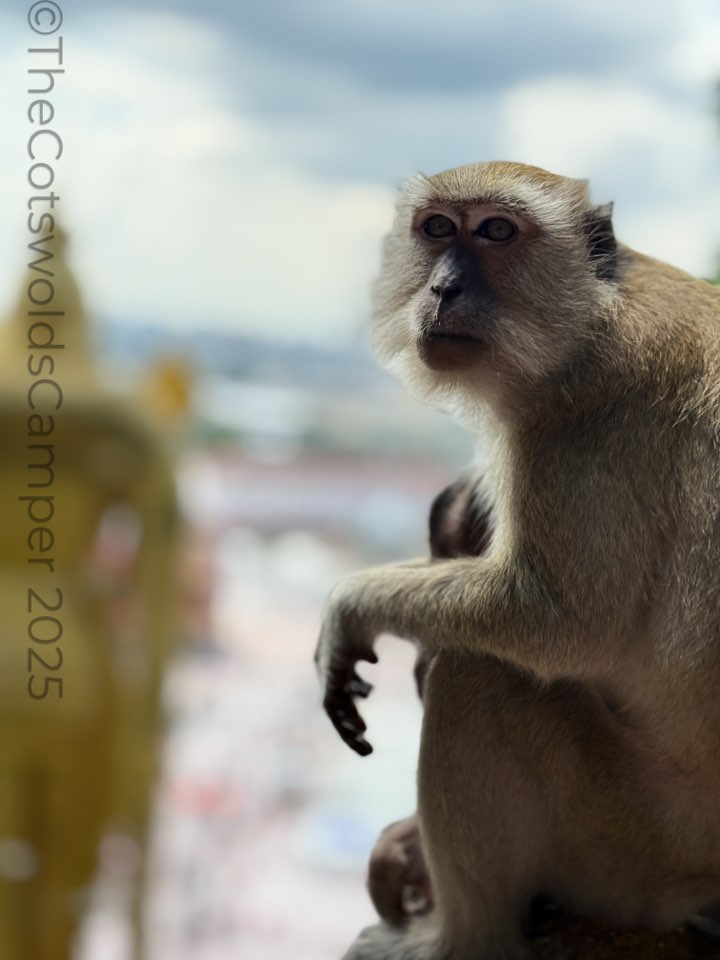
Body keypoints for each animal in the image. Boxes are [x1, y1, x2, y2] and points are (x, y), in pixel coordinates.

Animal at [314, 160, 720, 960]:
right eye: (438, 227)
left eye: (497, 231)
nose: (443, 287)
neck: (591, 316)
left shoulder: (585, 420)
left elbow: (560, 624)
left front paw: (350, 606)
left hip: (633, 851)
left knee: (480, 676)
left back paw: (460, 940)